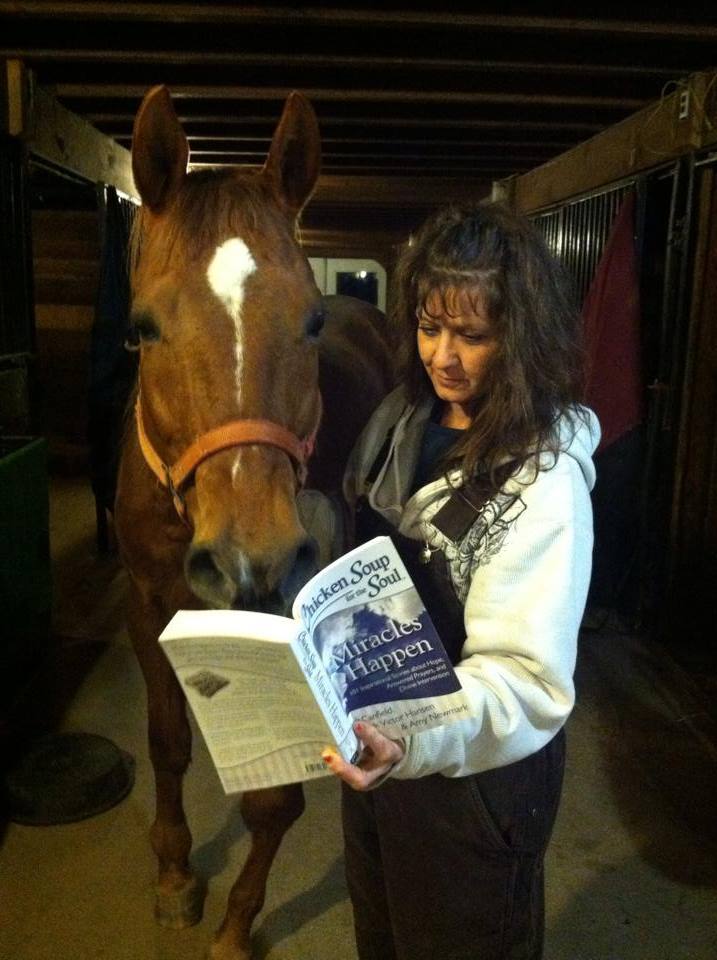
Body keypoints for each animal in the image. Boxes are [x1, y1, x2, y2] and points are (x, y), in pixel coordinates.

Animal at [114, 85, 393, 960]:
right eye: (141, 327)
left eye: (309, 324)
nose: (253, 559)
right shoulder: (146, 604)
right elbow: (166, 743)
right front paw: (175, 877)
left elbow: (273, 802)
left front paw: (237, 923)